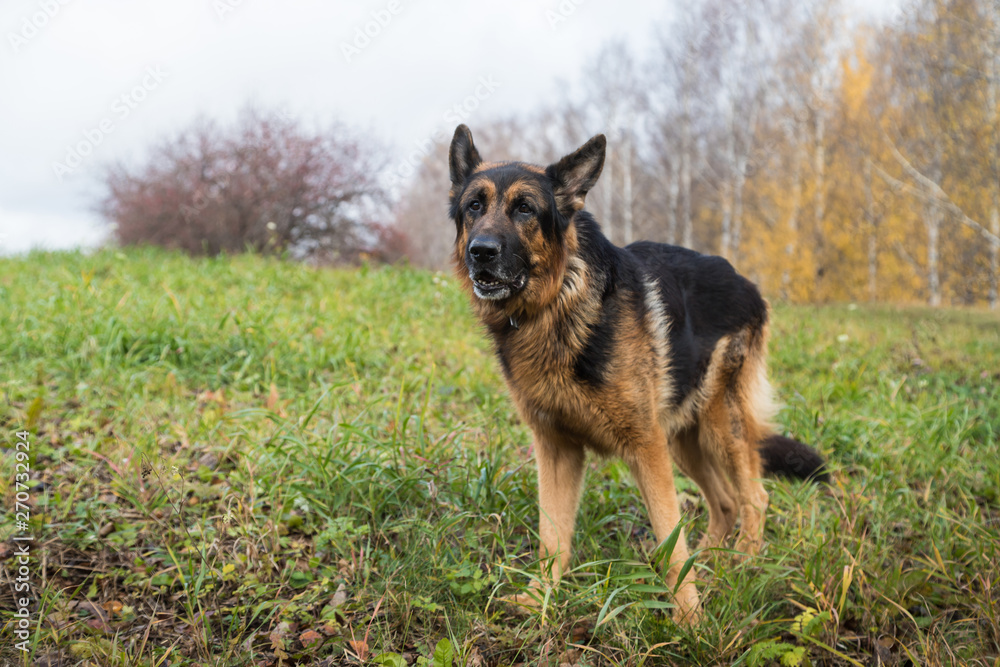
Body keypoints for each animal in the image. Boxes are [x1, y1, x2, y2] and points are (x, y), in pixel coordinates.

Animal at [448, 124, 828, 620]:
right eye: (474, 206)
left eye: (525, 208)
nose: (481, 252)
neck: (558, 304)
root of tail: (746, 282)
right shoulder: (557, 451)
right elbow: (553, 536)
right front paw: (540, 600)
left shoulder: (645, 448)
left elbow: (670, 540)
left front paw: (690, 620)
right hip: (682, 440)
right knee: (725, 503)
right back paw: (713, 565)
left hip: (717, 427)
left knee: (754, 498)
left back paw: (743, 565)